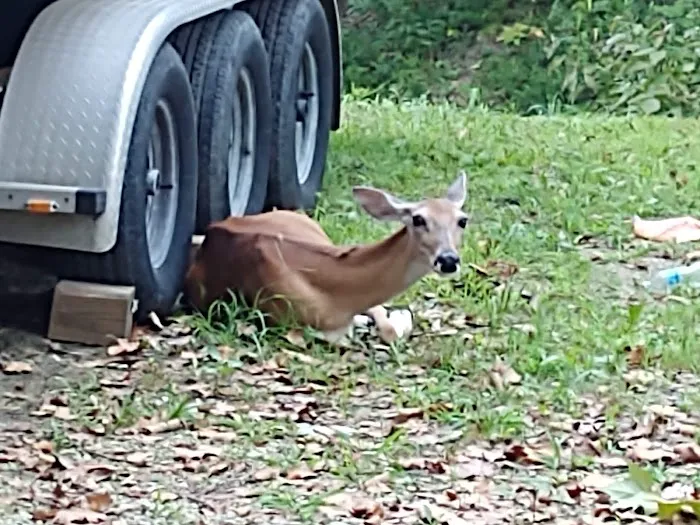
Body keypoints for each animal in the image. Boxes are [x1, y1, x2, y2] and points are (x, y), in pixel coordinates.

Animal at [184, 170, 470, 343]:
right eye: (418, 219)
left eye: (463, 220)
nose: (448, 260)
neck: (338, 294)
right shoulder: (288, 322)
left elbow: (387, 326)